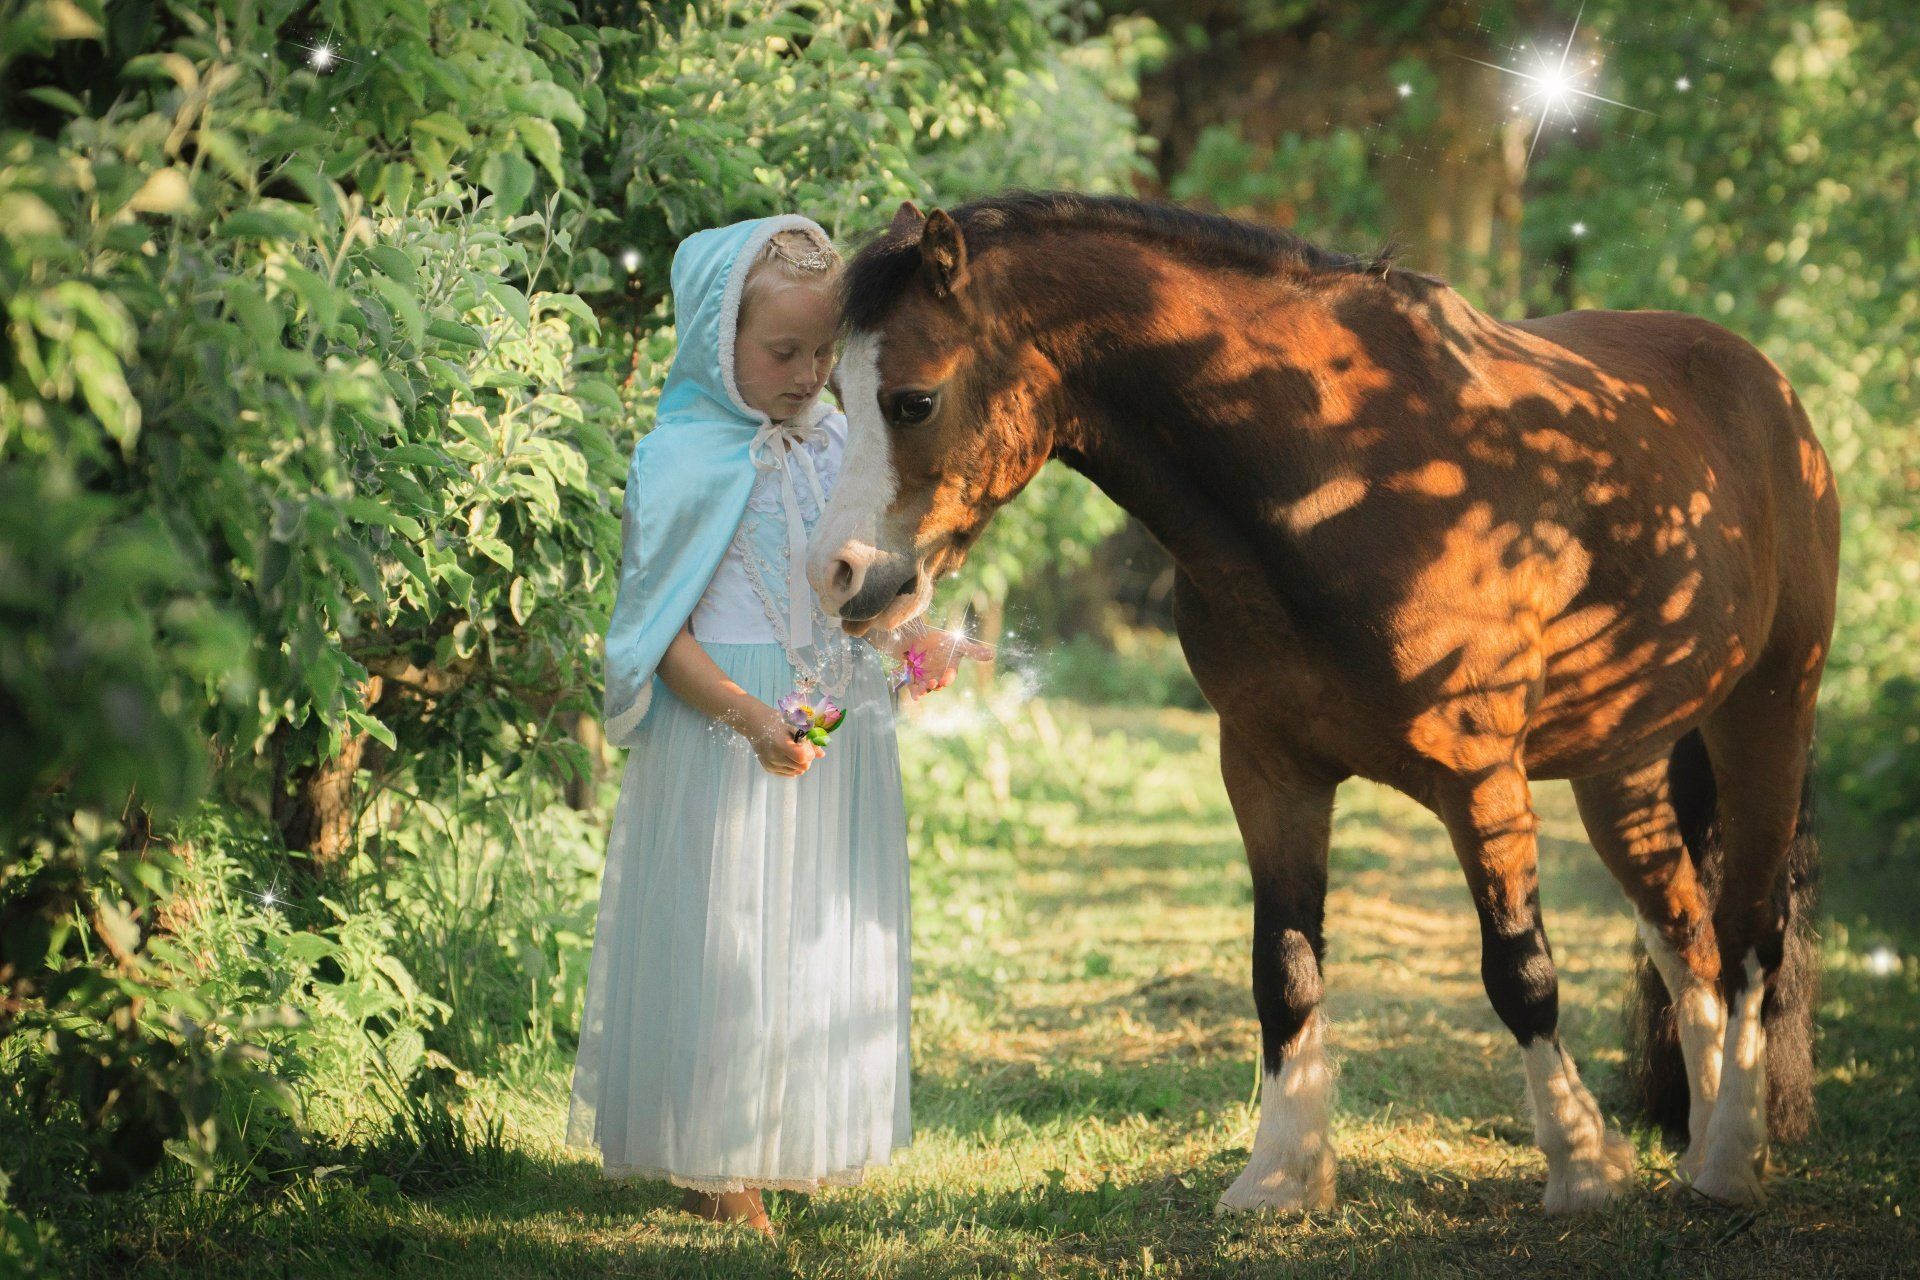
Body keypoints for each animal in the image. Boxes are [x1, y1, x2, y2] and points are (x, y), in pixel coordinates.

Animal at [806, 193, 1838, 1216]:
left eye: (913, 400)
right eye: (840, 396)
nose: (838, 575)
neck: (1338, 471)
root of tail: (1768, 390)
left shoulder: (1482, 776)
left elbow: (1521, 973)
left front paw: (1582, 1168)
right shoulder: (1270, 770)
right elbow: (1285, 969)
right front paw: (1282, 1174)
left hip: (1766, 715)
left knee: (1751, 938)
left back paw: (1732, 1158)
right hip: (1621, 766)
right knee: (1686, 940)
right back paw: (1704, 1143)